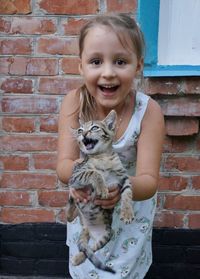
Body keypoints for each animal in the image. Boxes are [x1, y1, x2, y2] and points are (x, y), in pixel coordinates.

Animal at [66, 109, 134, 274]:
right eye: (80, 130)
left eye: (94, 127)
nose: (83, 134)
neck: (103, 157)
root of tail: (86, 228)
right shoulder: (76, 174)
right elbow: (93, 173)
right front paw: (102, 187)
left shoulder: (124, 178)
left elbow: (128, 193)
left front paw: (127, 213)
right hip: (73, 192)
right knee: (71, 204)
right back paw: (70, 214)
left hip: (106, 234)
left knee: (90, 249)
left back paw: (78, 258)